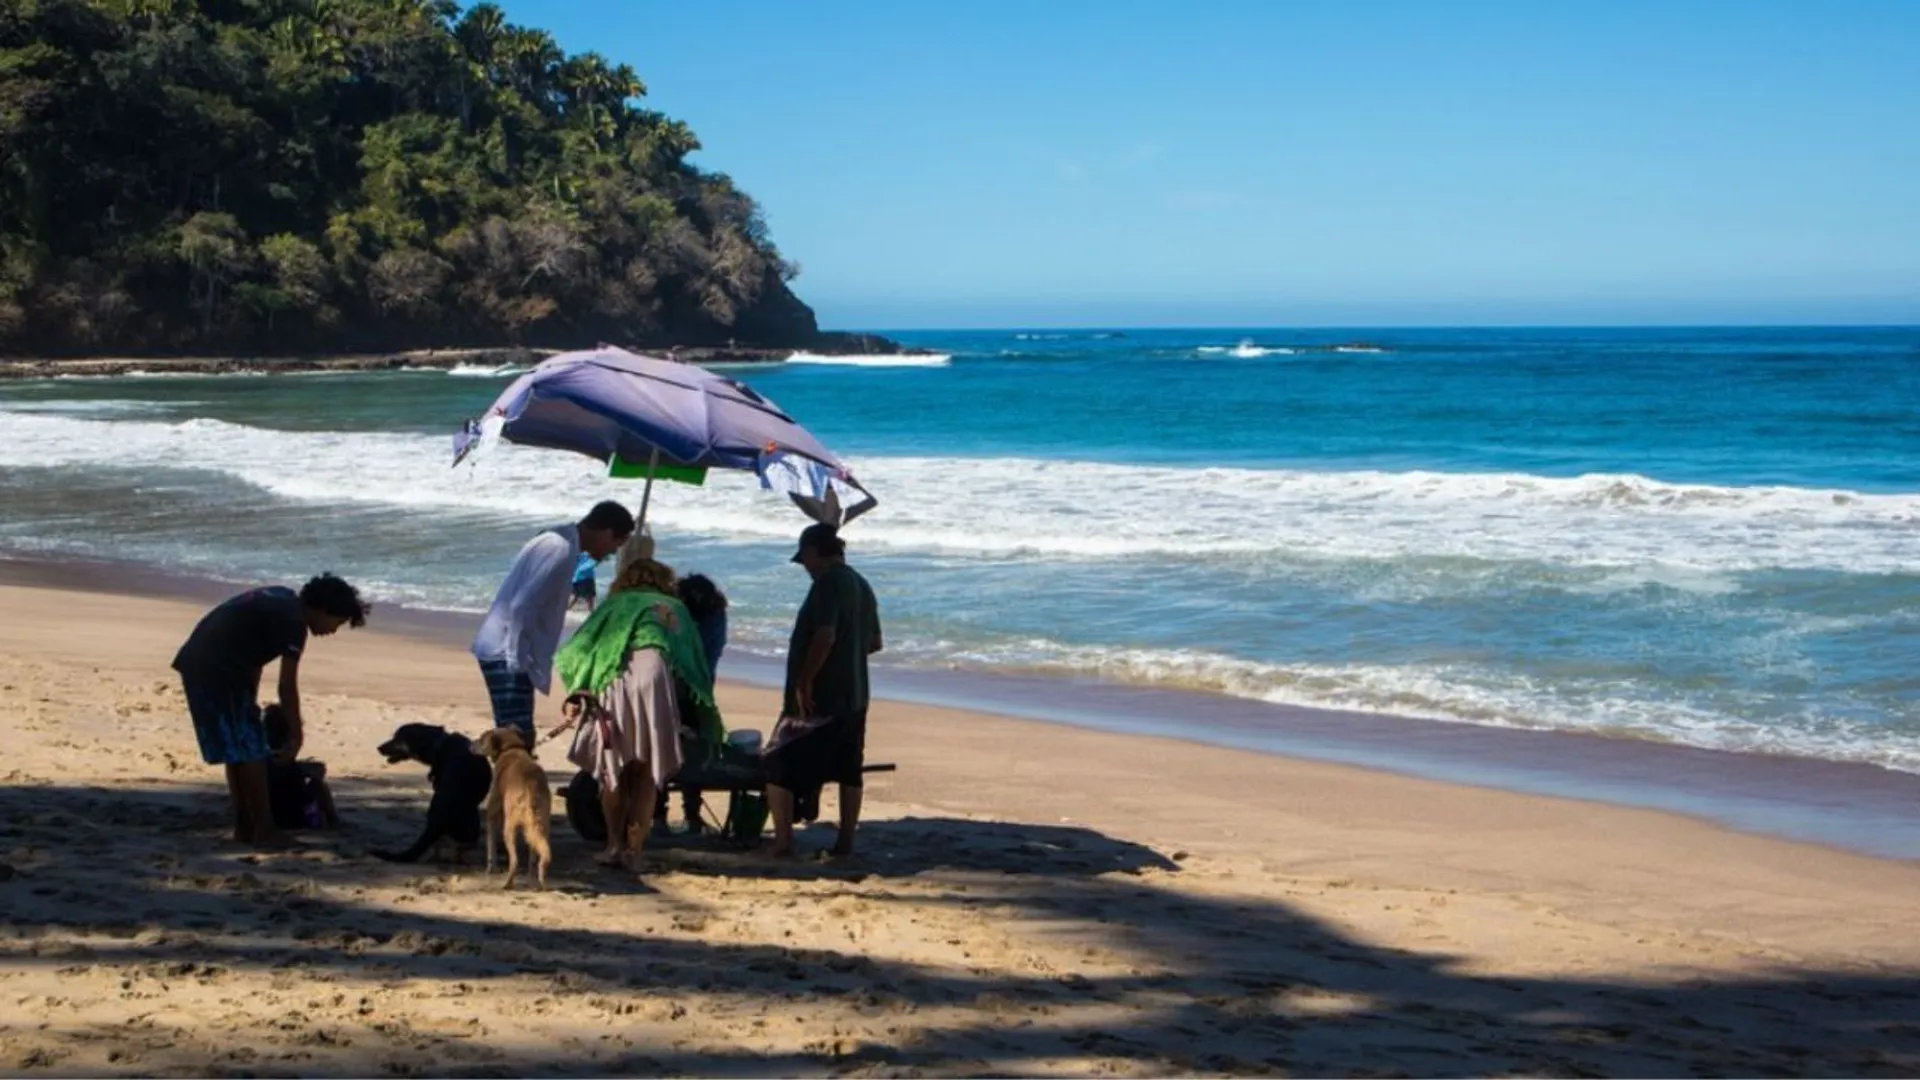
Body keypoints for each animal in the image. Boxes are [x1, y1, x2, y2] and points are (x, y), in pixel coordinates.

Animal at [366, 718, 487, 860]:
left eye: (398, 739)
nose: (378, 748)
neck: (440, 743)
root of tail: (438, 821)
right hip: (472, 822)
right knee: (457, 846)